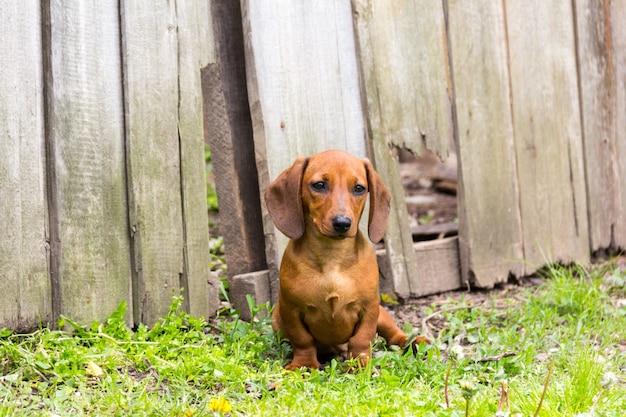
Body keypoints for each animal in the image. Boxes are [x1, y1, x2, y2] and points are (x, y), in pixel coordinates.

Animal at [264, 150, 428, 370]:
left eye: (359, 188)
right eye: (319, 185)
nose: (342, 223)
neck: (332, 258)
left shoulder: (369, 308)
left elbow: (361, 339)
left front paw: (360, 364)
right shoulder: (290, 309)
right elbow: (303, 340)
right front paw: (304, 365)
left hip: (382, 314)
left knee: (393, 334)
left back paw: (414, 341)